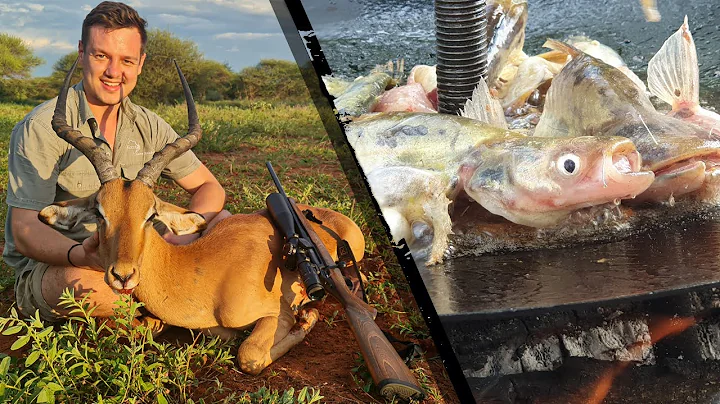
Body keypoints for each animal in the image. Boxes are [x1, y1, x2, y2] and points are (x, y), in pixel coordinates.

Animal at [37, 60, 366, 375]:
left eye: (150, 215)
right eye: (99, 212)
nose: (123, 275)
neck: (203, 274)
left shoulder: (275, 313)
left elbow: (249, 356)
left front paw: (307, 315)